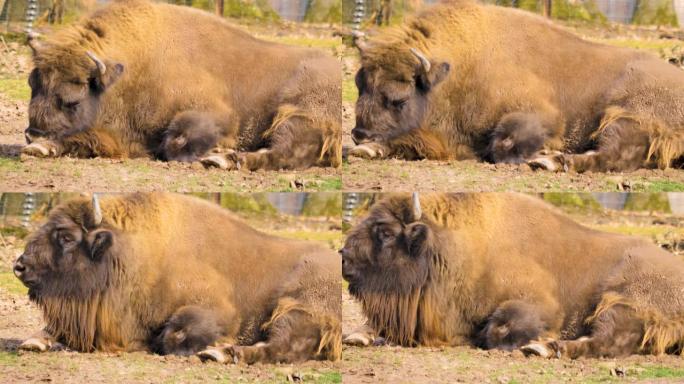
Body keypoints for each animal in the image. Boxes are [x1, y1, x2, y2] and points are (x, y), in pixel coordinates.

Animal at [12, 192, 340, 364]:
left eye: (66, 237)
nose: (19, 266)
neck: (129, 253)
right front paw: (35, 342)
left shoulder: (219, 311)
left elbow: (172, 336)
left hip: (294, 309)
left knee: (280, 346)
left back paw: (221, 353)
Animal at [22, 0, 340, 170]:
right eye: (32, 86)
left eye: (72, 100)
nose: (32, 134)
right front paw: (41, 147)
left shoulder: (216, 115)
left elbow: (175, 143)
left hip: (295, 118)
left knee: (282, 152)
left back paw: (221, 159)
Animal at [342, 194, 684, 358]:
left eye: (386, 232)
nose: (343, 257)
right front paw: (358, 336)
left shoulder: (540, 305)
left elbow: (497, 329)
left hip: (619, 301)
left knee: (608, 339)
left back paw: (546, 349)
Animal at [350, 0, 684, 172]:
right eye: (359, 85)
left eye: (400, 99)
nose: (358, 133)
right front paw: (368, 149)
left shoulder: (541, 115)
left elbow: (503, 144)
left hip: (625, 118)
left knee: (613, 154)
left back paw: (549, 161)